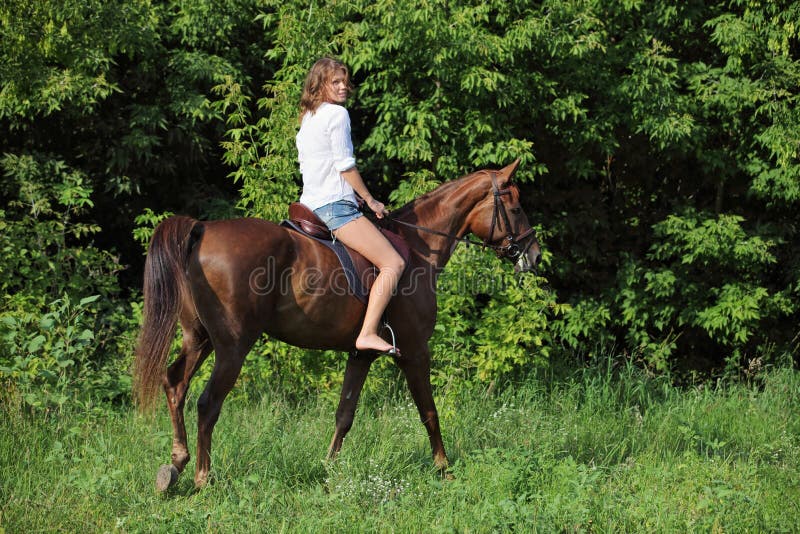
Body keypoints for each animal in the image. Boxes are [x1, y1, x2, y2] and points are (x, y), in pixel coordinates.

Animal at [134, 158, 540, 490]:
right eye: (516, 207)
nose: (533, 255)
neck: (418, 246)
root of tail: (202, 230)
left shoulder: (360, 355)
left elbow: (344, 414)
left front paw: (329, 468)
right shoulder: (414, 351)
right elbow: (429, 411)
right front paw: (444, 469)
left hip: (198, 338)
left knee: (175, 384)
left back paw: (176, 465)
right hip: (232, 347)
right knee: (207, 403)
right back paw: (203, 477)